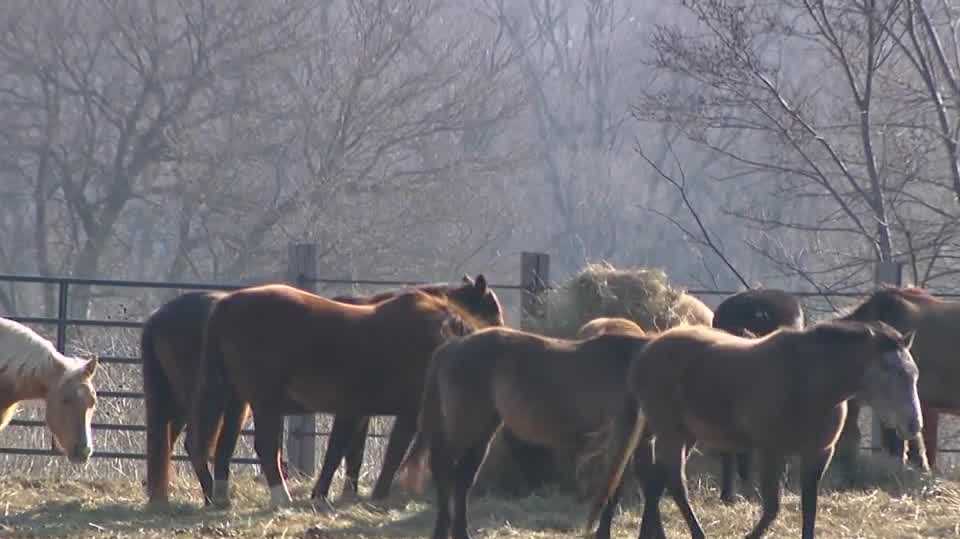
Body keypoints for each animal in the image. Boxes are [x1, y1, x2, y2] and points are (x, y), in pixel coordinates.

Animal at [142, 276, 494, 508]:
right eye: (491, 306)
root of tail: (224, 305)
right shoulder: (399, 413)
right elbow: (386, 453)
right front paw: (374, 495)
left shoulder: (356, 411)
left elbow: (344, 452)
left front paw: (330, 494)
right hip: (257, 401)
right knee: (255, 447)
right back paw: (276, 498)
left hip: (233, 399)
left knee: (210, 446)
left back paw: (218, 496)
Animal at [395, 325, 652, 539]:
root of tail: (452, 346)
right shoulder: (620, 437)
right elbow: (612, 487)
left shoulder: (636, 442)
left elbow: (633, 487)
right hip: (463, 427)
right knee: (444, 469)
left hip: (482, 431)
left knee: (462, 479)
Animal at [587, 319, 921, 539]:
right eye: (888, 371)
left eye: (913, 373)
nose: (913, 424)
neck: (806, 379)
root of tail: (648, 347)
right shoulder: (771, 452)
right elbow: (772, 508)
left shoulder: (817, 454)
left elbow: (809, 508)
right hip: (670, 431)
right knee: (671, 482)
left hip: (679, 433)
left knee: (652, 479)